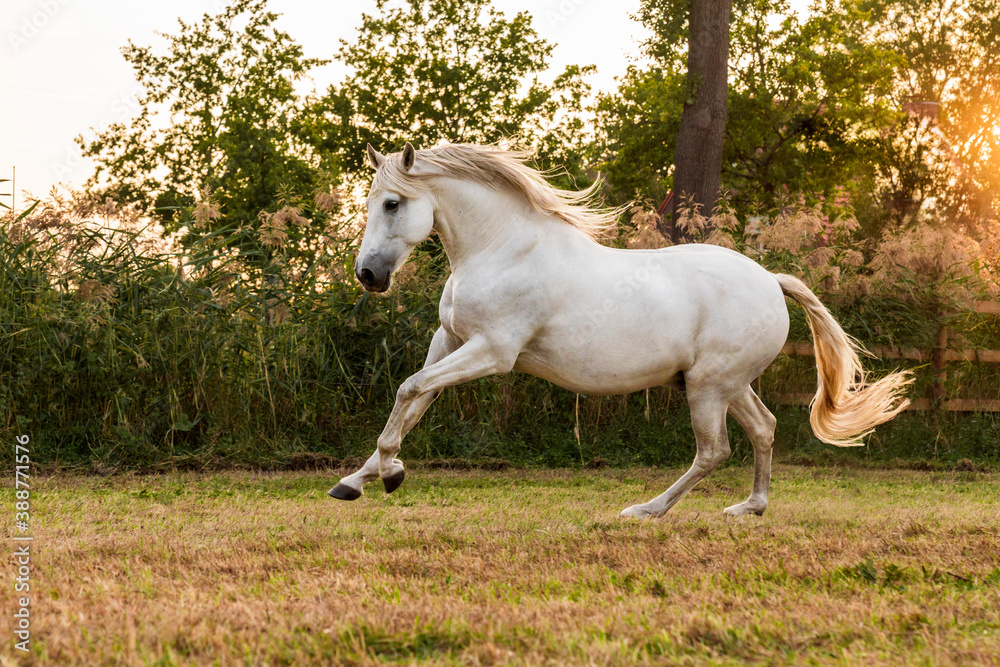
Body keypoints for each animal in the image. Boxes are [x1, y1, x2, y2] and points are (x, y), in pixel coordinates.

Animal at [330, 144, 916, 520]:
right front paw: (354, 481)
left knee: (715, 451)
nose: (368, 276)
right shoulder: (448, 342)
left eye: (392, 203)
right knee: (764, 429)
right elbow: (413, 400)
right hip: (725, 384)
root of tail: (771, 280)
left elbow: (408, 390)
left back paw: (646, 509)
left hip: (708, 388)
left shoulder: (492, 352)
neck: (501, 249)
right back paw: (750, 507)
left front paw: (391, 472)